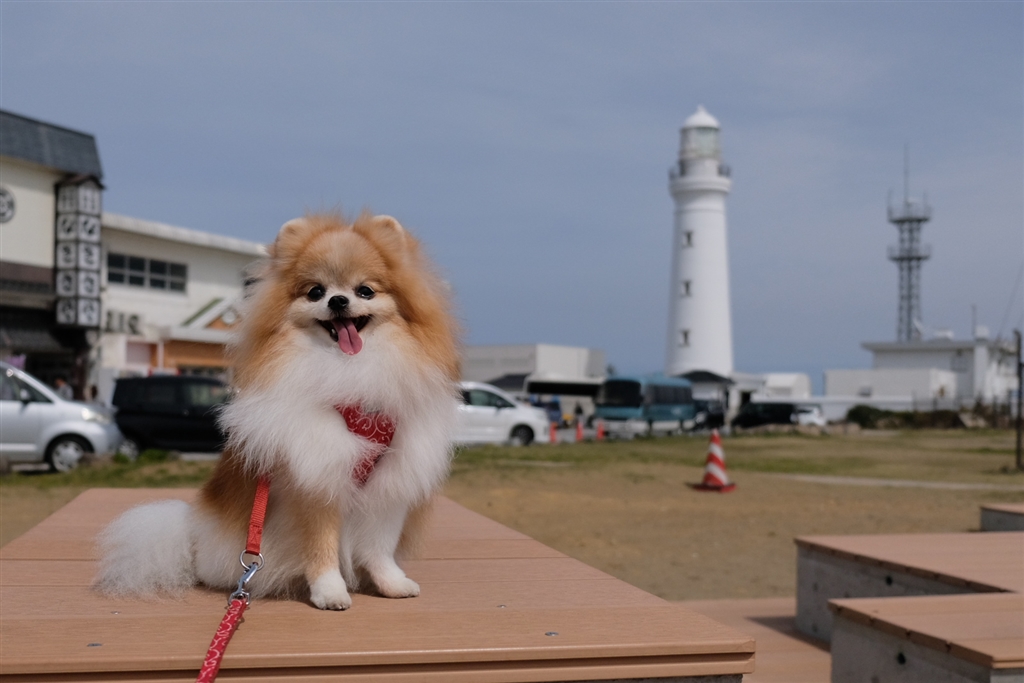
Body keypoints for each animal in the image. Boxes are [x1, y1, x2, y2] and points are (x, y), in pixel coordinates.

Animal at [95, 213, 461, 610]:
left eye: (365, 291)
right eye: (315, 291)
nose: (337, 300)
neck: (349, 368)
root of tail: (192, 535)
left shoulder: (389, 482)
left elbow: (379, 547)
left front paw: (391, 583)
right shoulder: (316, 478)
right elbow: (321, 547)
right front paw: (330, 591)